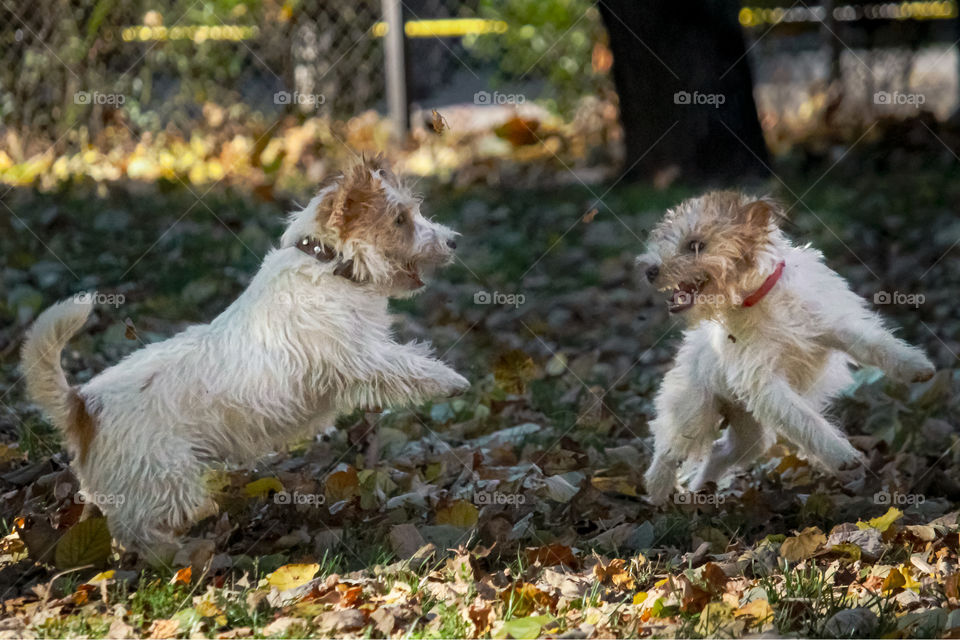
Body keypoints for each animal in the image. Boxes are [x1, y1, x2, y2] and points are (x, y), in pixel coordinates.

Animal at [20, 158, 470, 548]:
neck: (326, 264)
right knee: (141, 532)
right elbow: (407, 365)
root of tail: (82, 404)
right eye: (400, 220)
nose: (454, 240)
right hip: (162, 481)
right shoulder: (360, 356)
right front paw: (452, 381)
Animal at [640, 192, 932, 502]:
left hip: (749, 435)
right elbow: (804, 418)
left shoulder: (836, 326)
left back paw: (700, 490)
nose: (649, 270)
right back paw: (659, 493)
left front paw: (915, 365)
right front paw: (840, 455)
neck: (761, 297)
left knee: (720, 451)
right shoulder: (766, 383)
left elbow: (875, 344)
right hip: (693, 412)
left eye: (695, 245)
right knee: (668, 451)